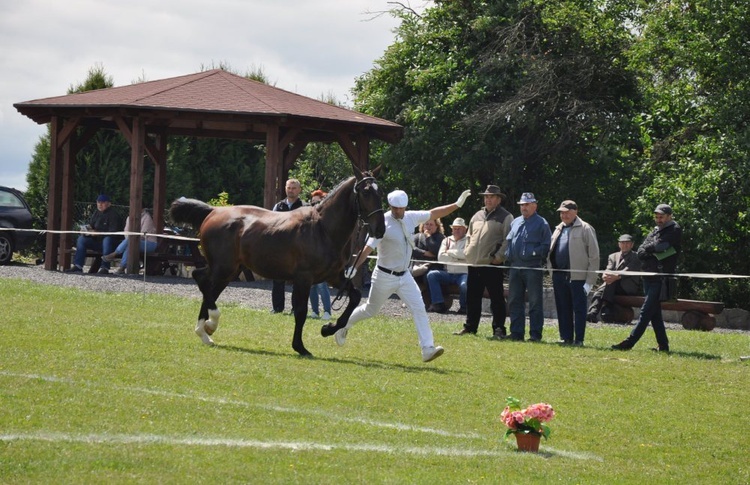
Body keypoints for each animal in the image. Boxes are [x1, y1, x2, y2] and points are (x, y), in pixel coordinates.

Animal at [171, 165, 388, 356]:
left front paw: (328, 328)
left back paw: (205, 331)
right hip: (223, 267)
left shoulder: (334, 276)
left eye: (380, 192)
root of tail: (214, 211)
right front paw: (300, 347)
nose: (380, 229)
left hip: (229, 270)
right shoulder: (304, 279)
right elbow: (300, 312)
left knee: (206, 285)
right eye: (366, 192)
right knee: (202, 281)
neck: (323, 229)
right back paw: (210, 323)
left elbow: (355, 296)